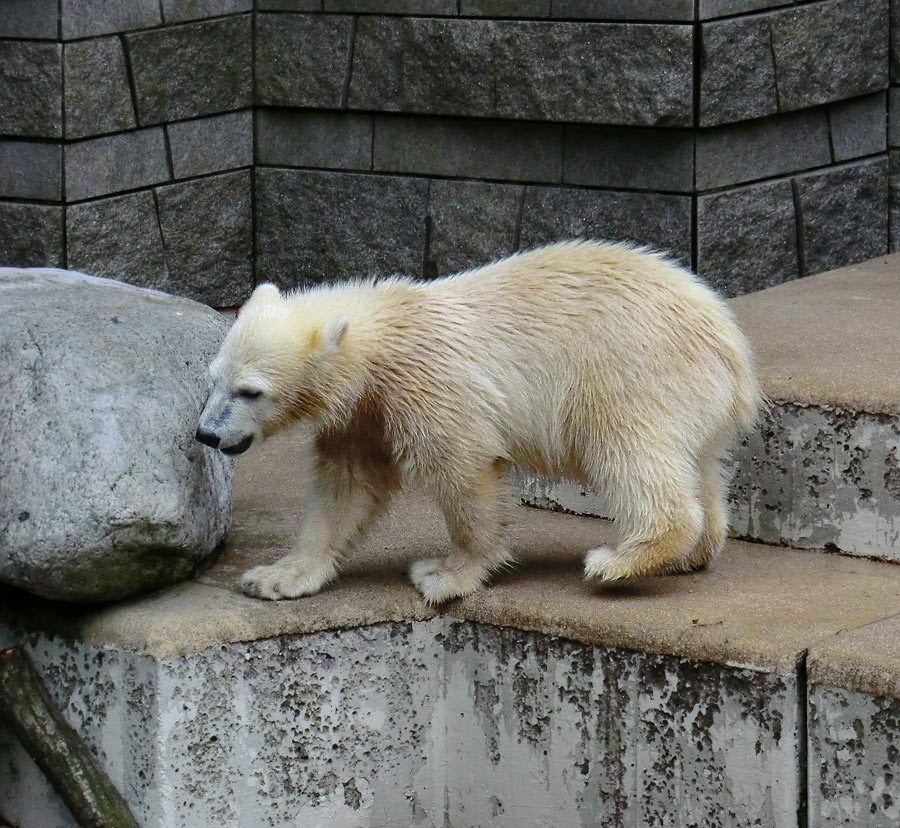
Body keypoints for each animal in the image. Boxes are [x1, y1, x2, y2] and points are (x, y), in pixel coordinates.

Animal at [195, 239, 760, 600]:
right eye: (213, 379)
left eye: (250, 391)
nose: (206, 433)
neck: (382, 339)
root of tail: (732, 345)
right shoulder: (362, 414)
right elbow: (346, 488)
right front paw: (277, 577)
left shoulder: (427, 385)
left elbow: (463, 469)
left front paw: (447, 574)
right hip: (693, 398)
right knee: (699, 464)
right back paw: (693, 551)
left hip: (631, 370)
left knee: (628, 451)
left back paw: (618, 560)